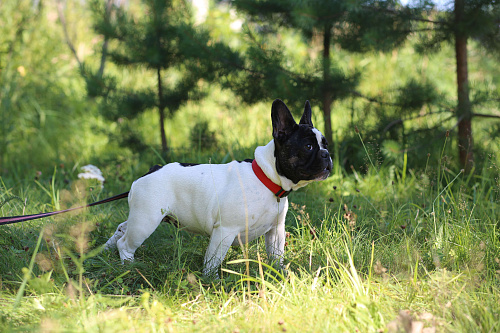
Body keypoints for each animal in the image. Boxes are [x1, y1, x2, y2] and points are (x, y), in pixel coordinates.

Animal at [104, 98, 332, 274]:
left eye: (325, 144)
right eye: (308, 146)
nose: (327, 155)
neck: (268, 180)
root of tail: (152, 170)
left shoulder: (276, 231)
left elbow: (276, 257)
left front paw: (279, 274)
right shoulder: (224, 231)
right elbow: (212, 261)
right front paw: (211, 282)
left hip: (142, 216)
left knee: (122, 228)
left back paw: (107, 250)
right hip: (147, 219)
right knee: (126, 242)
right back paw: (129, 265)